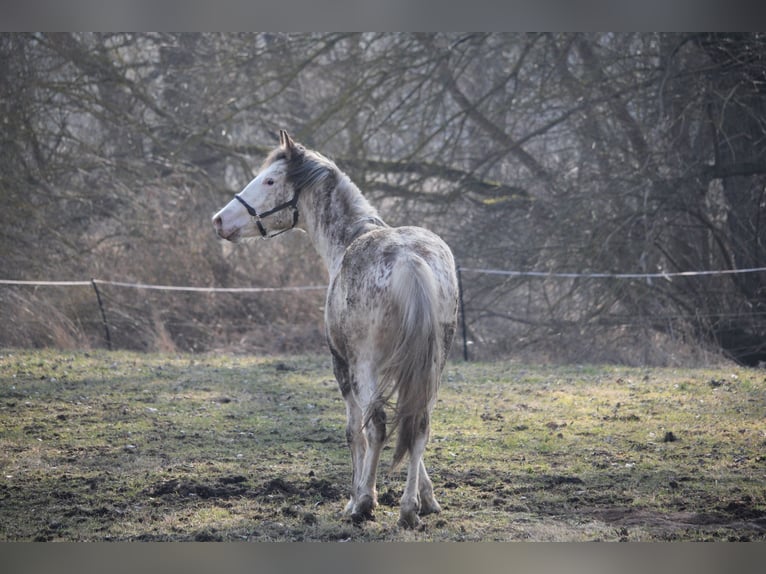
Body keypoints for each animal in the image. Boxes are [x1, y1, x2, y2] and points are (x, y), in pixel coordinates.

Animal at [213, 132, 460, 532]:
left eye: (270, 181)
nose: (219, 220)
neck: (349, 240)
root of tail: (410, 259)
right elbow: (409, 428)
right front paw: (429, 499)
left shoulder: (342, 365)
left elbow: (354, 431)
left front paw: (358, 497)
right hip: (433, 365)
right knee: (420, 423)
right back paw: (410, 508)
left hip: (364, 366)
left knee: (376, 426)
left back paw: (366, 505)